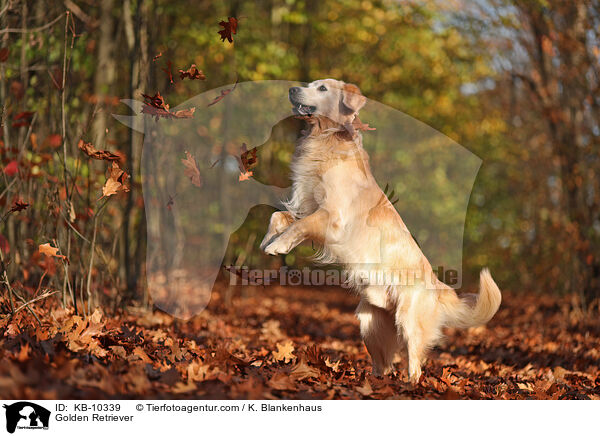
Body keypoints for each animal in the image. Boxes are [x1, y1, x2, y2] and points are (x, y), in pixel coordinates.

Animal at [260, 79, 500, 384]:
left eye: (322, 88)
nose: (292, 89)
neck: (327, 138)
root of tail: (438, 286)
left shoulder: (332, 216)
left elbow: (299, 225)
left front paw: (277, 245)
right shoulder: (307, 205)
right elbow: (278, 215)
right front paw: (269, 239)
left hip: (409, 321)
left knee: (415, 363)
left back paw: (410, 386)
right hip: (369, 323)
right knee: (384, 363)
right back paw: (372, 382)